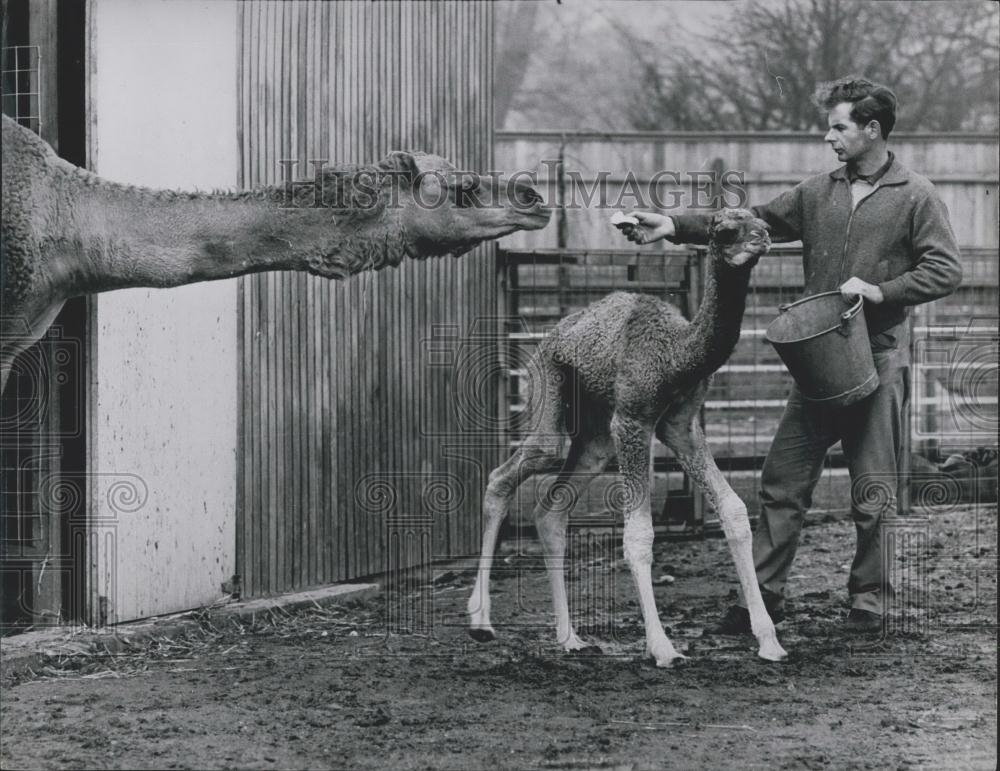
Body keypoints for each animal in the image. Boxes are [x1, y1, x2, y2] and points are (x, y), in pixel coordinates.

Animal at [467, 208, 788, 667]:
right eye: (726, 230)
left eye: (763, 221)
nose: (762, 238)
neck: (677, 356)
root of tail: (553, 335)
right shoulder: (634, 420)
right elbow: (638, 536)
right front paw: (663, 648)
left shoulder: (681, 426)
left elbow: (735, 511)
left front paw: (769, 641)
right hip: (551, 386)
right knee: (510, 472)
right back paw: (480, 620)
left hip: (597, 437)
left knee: (551, 510)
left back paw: (570, 637)